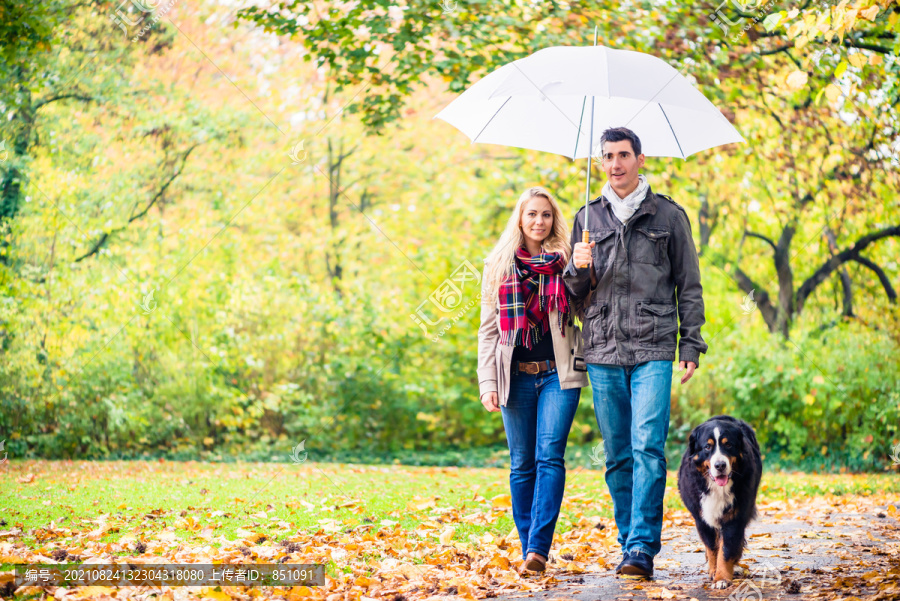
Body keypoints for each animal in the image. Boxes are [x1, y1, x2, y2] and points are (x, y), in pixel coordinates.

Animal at [680, 414, 764, 588]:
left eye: (729, 445)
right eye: (707, 447)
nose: (720, 465)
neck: (717, 488)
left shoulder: (735, 517)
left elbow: (726, 549)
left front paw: (722, 578)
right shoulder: (702, 518)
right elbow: (713, 547)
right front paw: (714, 571)